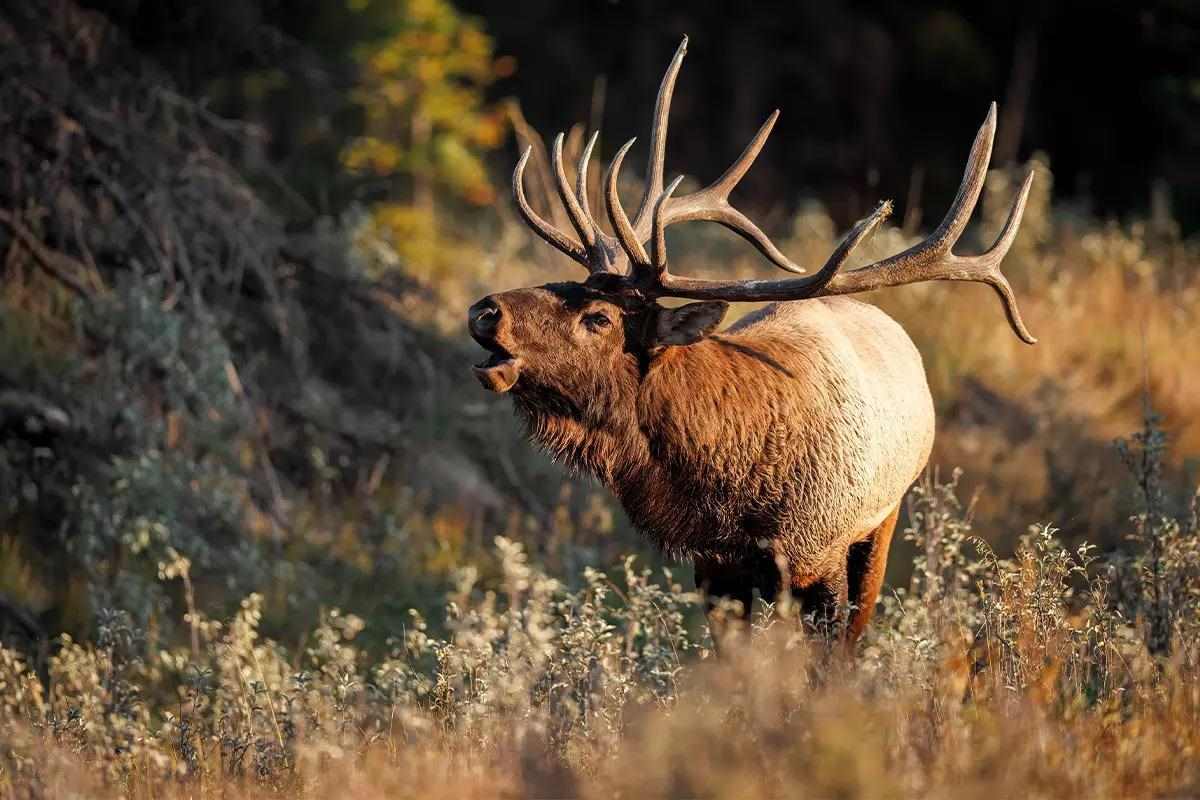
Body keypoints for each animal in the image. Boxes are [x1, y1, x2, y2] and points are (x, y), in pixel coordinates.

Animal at [468, 37, 1035, 644]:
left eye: (599, 317)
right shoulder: (715, 567)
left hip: (884, 517)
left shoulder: (821, 554)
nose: (485, 311)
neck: (731, 494)